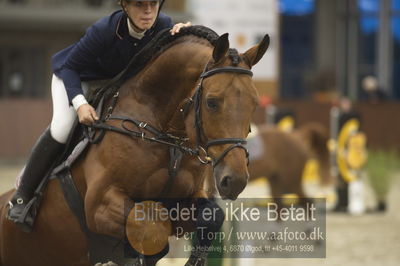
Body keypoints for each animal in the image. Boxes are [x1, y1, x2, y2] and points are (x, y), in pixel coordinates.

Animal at [0, 25, 270, 266]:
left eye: (254, 103)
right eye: (212, 102)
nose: (235, 180)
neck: (166, 136)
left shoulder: (186, 200)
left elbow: (212, 215)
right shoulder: (98, 205)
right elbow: (151, 223)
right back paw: (20, 207)